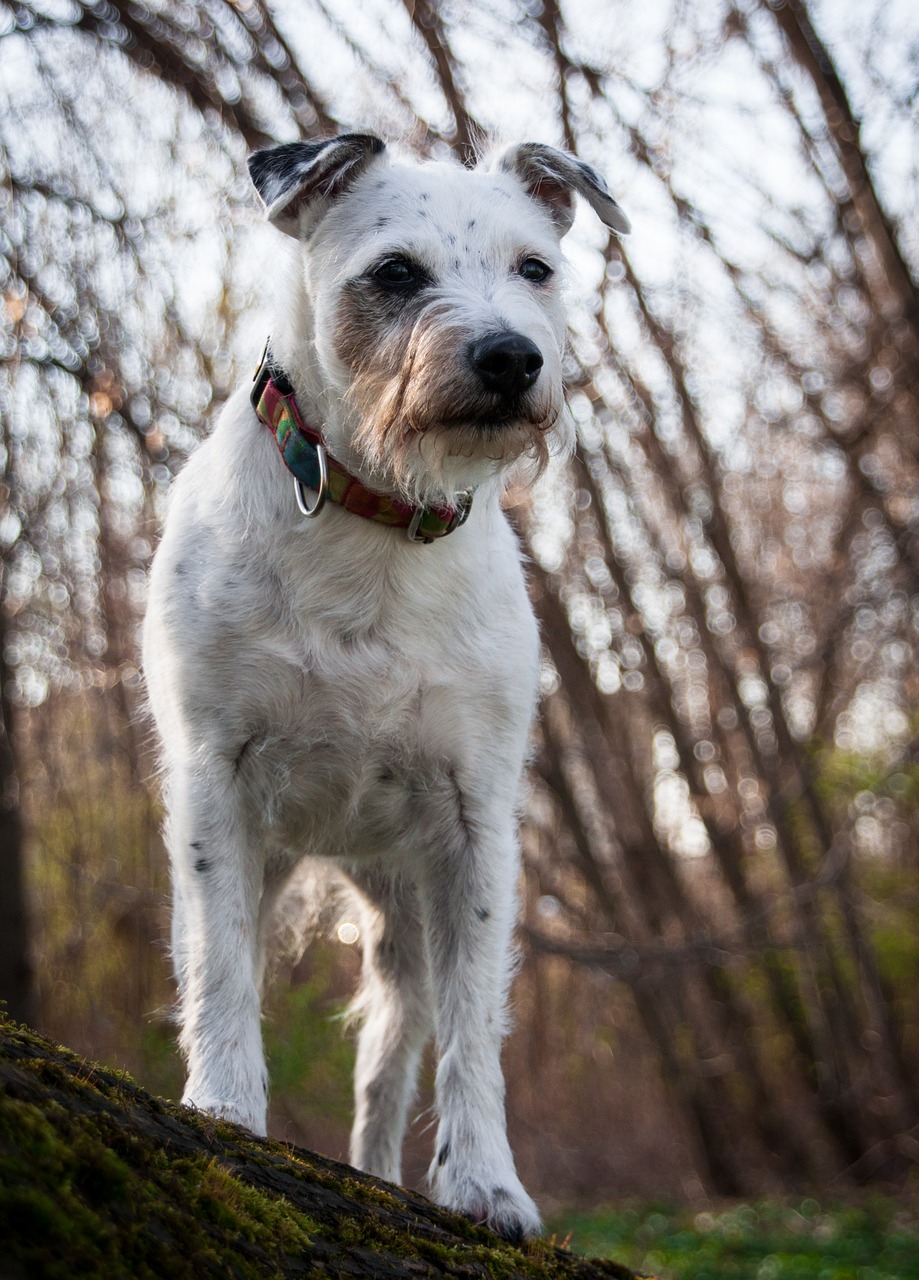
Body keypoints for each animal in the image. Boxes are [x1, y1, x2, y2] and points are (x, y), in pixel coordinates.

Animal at [143, 132, 629, 1239]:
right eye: (397, 274)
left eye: (535, 268)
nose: (511, 357)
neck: (374, 516)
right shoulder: (215, 783)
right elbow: (222, 970)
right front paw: (223, 1108)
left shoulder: (474, 825)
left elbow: (473, 1034)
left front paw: (486, 1181)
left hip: (404, 925)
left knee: (385, 1074)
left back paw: (380, 1173)